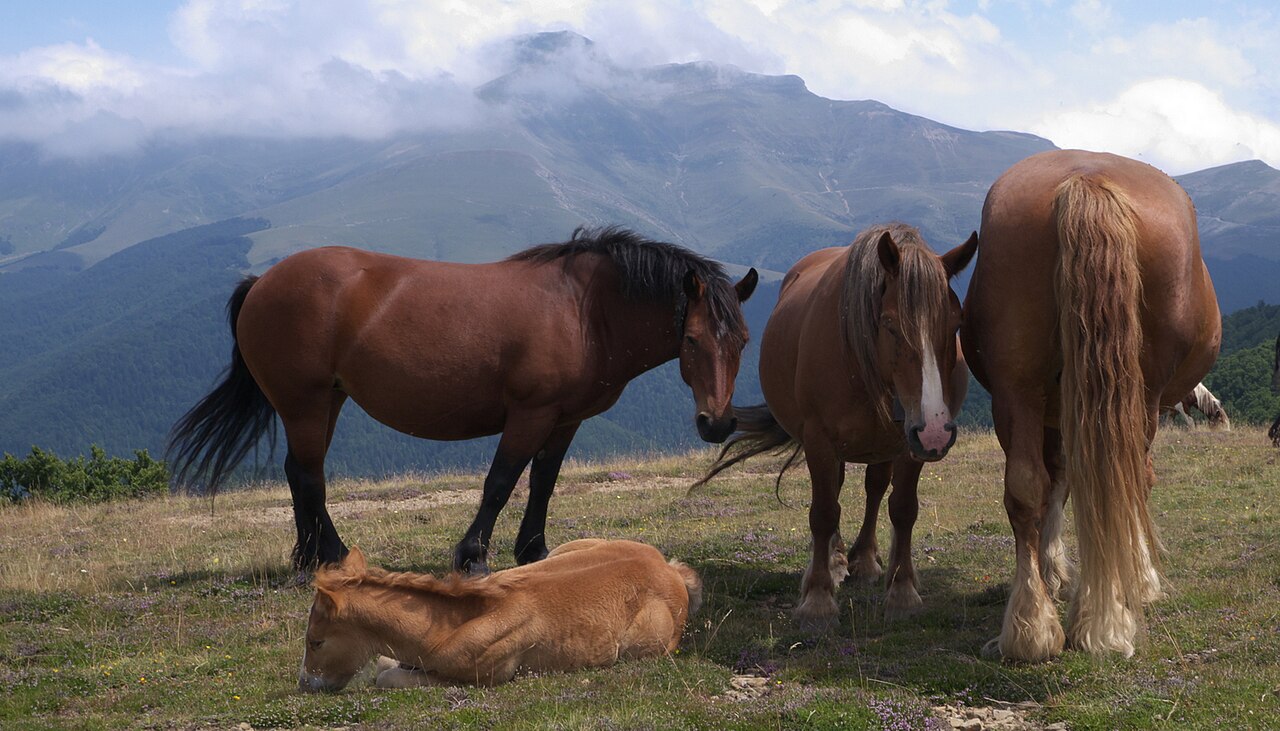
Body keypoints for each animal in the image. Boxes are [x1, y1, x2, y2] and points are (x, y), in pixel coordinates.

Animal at [168, 227, 757, 574]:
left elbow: (543, 483)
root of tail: (262, 281)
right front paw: (472, 556)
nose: (716, 423)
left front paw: (534, 551)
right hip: (305, 402)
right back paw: (331, 558)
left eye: (744, 342)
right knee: (309, 476)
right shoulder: (530, 413)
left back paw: (310, 558)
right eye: (691, 341)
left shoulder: (565, 420)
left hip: (326, 401)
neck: (585, 310)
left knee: (298, 472)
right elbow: (500, 481)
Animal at [298, 539, 702, 691]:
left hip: (646, 647)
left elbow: (388, 677)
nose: (305, 684)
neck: (445, 628)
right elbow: (385, 664)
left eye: (316, 641)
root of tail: (669, 569)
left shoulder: (483, 677)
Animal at [697, 223, 977, 628]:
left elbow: (903, 508)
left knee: (875, 489)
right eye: (890, 325)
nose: (937, 430)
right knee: (836, 492)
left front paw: (902, 591)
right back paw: (834, 561)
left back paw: (867, 560)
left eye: (956, 324)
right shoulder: (820, 441)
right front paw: (818, 599)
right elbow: (824, 512)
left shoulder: (912, 443)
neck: (861, 358)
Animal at [960, 149, 1221, 662]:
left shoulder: (1055, 411)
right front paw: (1137, 580)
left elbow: (1056, 482)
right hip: (1141, 395)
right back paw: (1106, 617)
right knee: (1128, 478)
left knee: (1026, 486)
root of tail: (1086, 179)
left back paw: (1031, 628)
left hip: (1017, 387)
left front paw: (1053, 572)